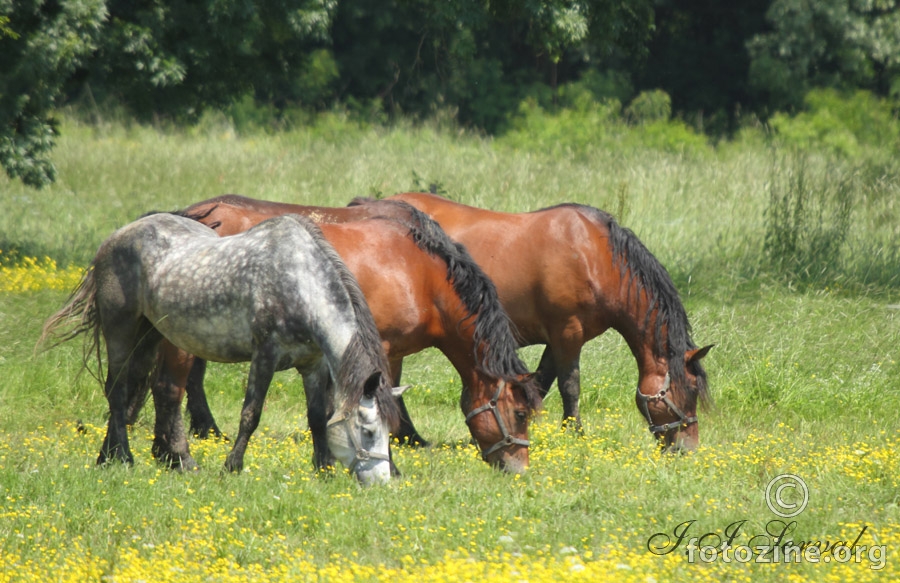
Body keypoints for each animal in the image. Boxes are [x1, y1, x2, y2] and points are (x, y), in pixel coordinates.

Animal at [38, 214, 398, 488]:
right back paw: (126, 457)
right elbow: (251, 414)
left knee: (137, 390)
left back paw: (110, 457)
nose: (381, 482)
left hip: (151, 336)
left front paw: (323, 469)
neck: (299, 282)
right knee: (117, 390)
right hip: (120, 331)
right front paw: (232, 467)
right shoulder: (265, 355)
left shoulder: (314, 364)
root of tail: (114, 238)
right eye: (368, 432)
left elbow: (318, 417)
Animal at [136, 196, 536, 474]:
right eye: (519, 413)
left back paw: (164, 453)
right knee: (170, 387)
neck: (417, 272)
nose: (518, 468)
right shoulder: (378, 347)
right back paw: (179, 456)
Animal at [358, 194, 712, 454]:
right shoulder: (567, 333)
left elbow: (541, 382)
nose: (687, 448)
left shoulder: (557, 339)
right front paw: (575, 433)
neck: (595, 255)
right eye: (691, 390)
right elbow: (570, 385)